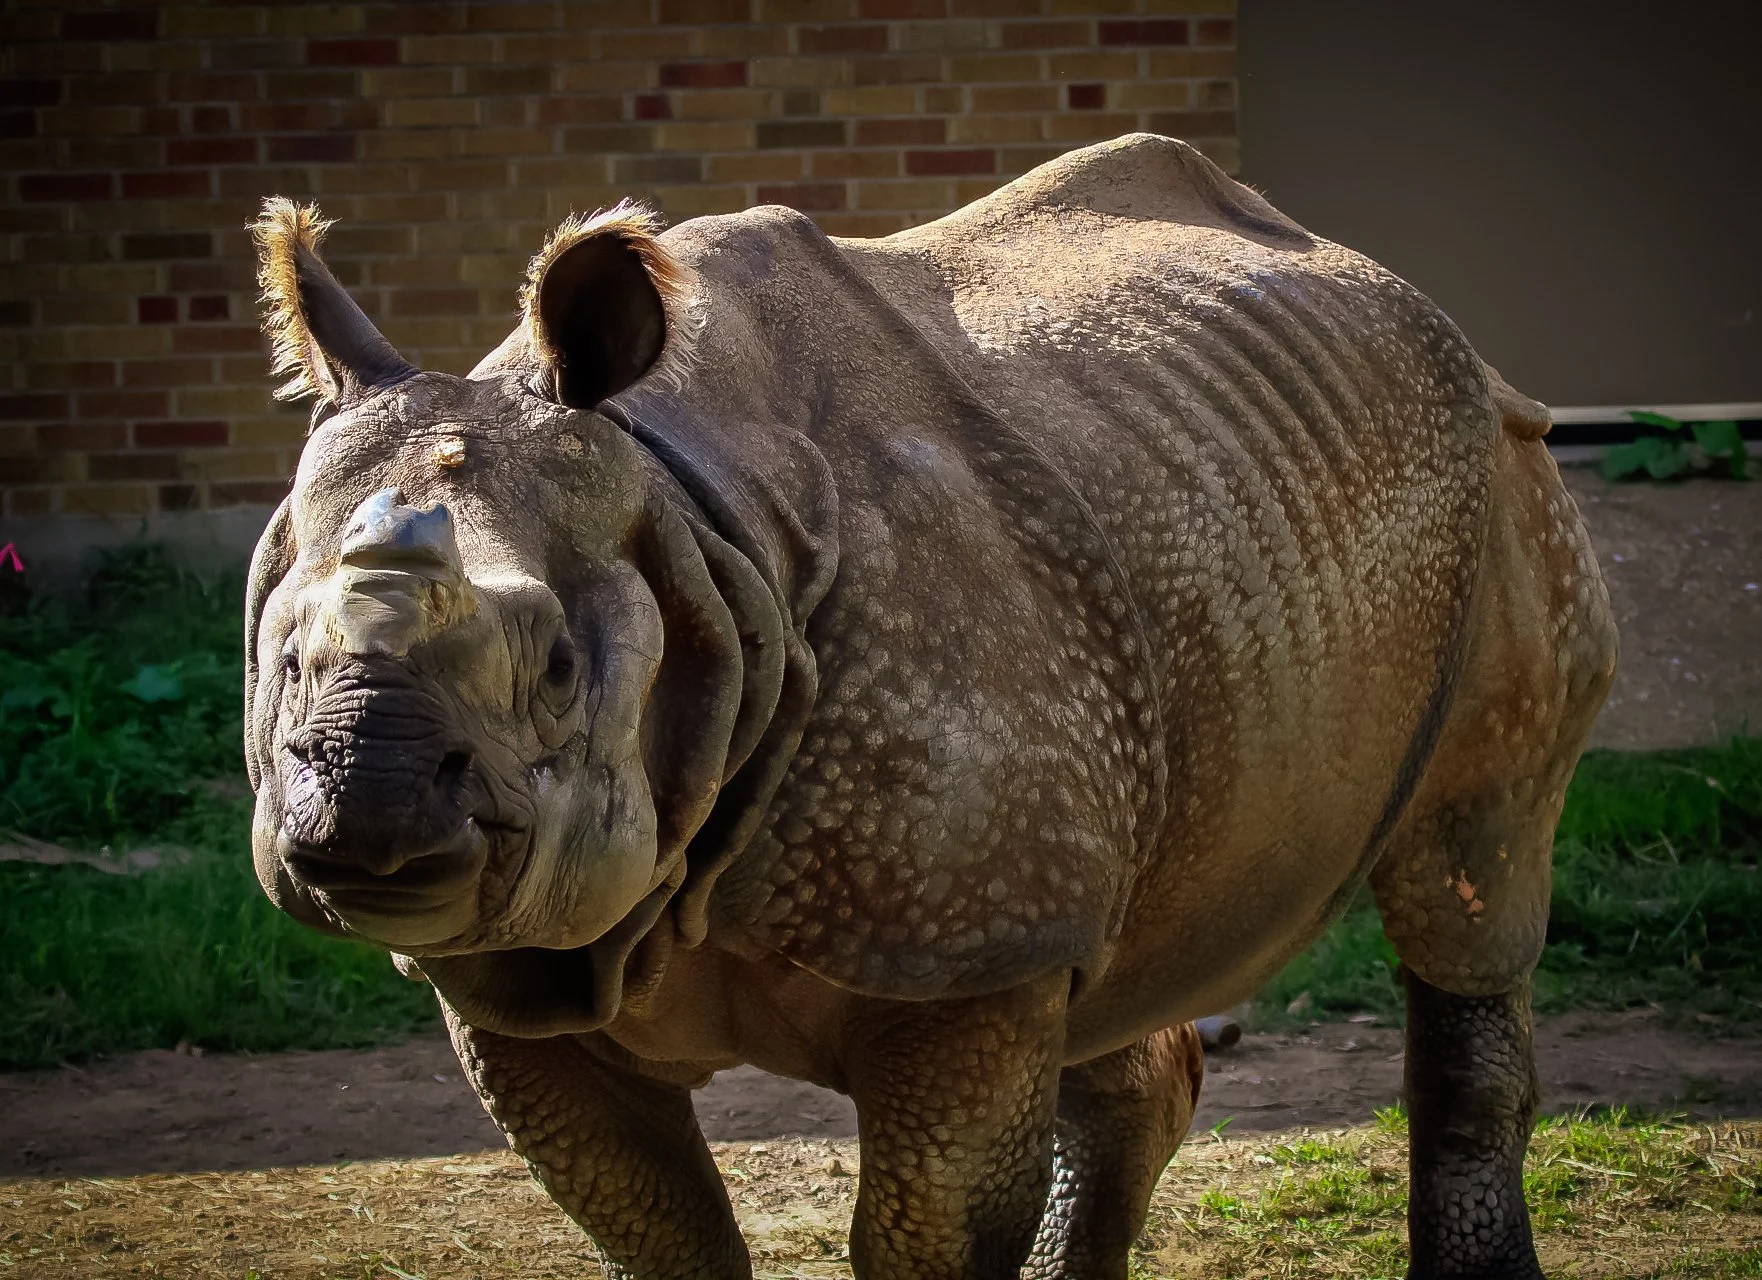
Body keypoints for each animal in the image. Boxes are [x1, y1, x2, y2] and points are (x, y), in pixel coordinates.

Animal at [244, 134, 1615, 1279]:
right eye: (281, 659)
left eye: (559, 669)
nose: (364, 813)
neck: (686, 516)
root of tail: (1410, 297)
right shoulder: (526, 968)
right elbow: (656, 1228)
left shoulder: (965, 949)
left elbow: (929, 1236)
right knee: (1121, 951)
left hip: (1505, 481)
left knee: (1471, 867)